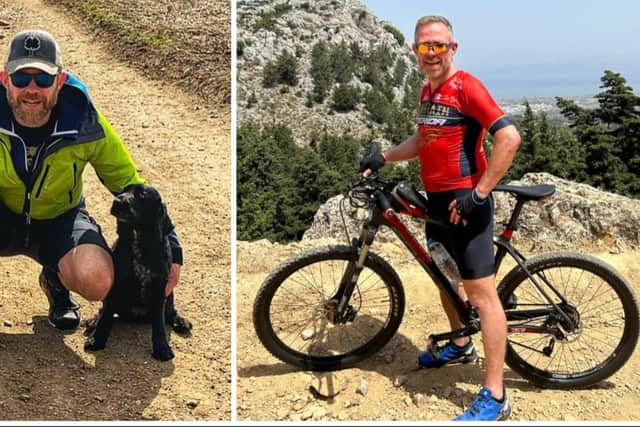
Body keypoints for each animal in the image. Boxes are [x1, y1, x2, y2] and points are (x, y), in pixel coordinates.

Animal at [85, 184, 191, 362]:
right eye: (122, 191)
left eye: (141, 195)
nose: (117, 201)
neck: (138, 240)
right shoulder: (115, 285)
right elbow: (106, 316)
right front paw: (96, 338)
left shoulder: (160, 289)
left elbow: (159, 324)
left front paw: (162, 348)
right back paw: (93, 321)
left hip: (170, 293)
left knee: (170, 313)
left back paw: (181, 321)